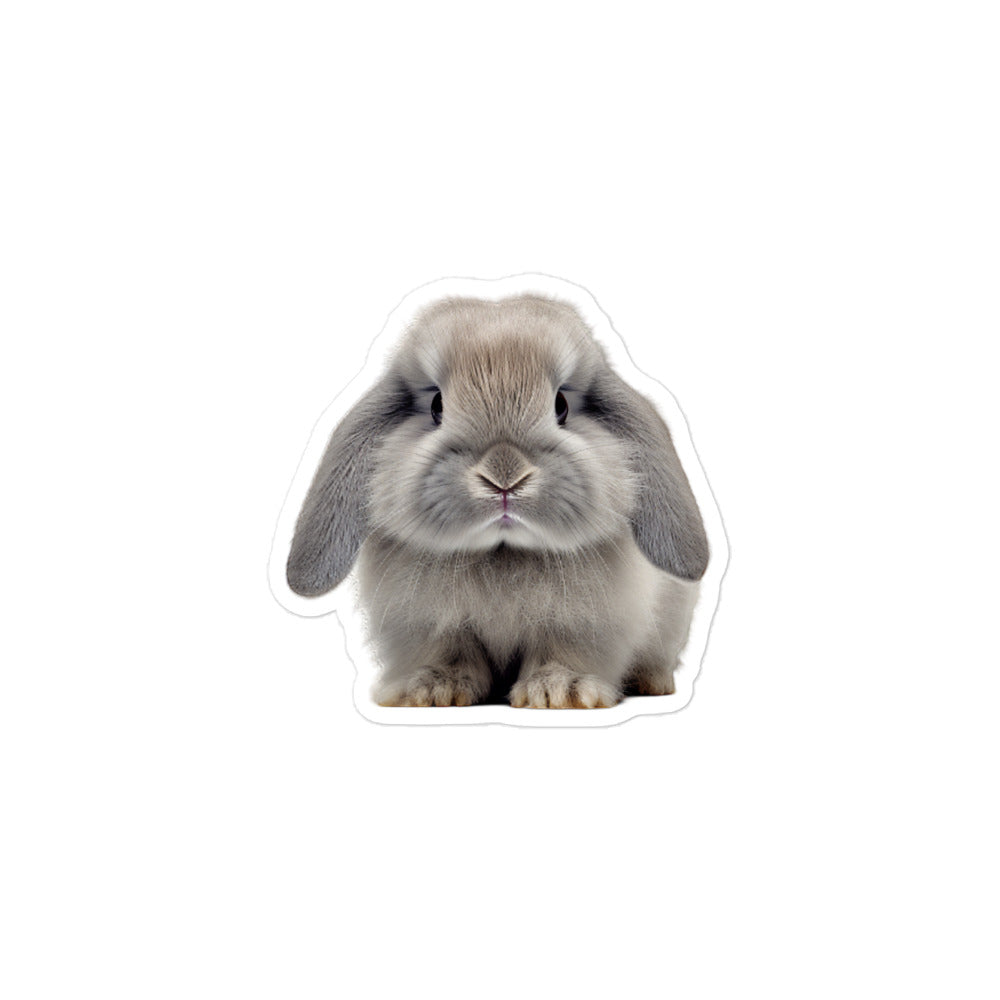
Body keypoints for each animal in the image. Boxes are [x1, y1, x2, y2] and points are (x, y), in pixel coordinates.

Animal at [286, 294, 709, 708]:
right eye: (437, 406)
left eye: (561, 405)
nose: (504, 476)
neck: (503, 554)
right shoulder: (425, 622)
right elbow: (447, 652)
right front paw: (432, 691)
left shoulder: (586, 621)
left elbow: (563, 650)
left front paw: (559, 692)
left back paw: (651, 683)